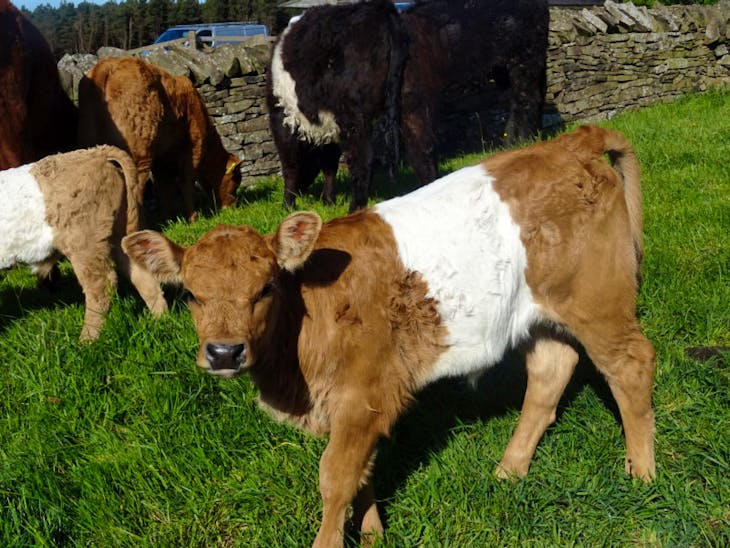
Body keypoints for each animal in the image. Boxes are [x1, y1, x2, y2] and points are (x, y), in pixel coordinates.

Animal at [0, 146, 166, 342]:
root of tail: (95, 152)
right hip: (117, 234)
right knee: (141, 275)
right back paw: (161, 320)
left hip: (84, 241)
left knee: (101, 286)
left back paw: (87, 340)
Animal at [79, 57, 242, 223]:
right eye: (235, 181)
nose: (233, 207)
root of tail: (106, 65)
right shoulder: (194, 146)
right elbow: (186, 183)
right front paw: (193, 218)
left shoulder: (161, 158)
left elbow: (165, 187)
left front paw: (169, 218)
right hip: (139, 154)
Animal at [122, 126, 656, 544]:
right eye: (192, 294)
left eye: (266, 287)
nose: (224, 352)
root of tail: (571, 142)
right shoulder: (358, 405)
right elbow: (363, 470)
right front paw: (374, 530)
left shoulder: (364, 394)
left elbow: (337, 476)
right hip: (541, 314)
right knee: (550, 374)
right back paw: (508, 471)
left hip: (597, 302)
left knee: (631, 365)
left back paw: (644, 475)